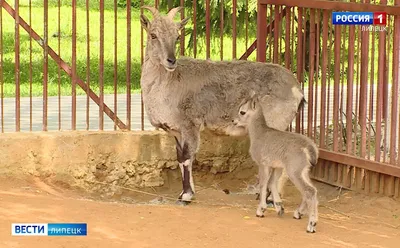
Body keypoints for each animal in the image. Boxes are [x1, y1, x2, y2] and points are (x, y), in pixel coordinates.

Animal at [139, 6, 304, 203]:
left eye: (177, 36)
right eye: (153, 35)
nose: (171, 61)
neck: (167, 82)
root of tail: (297, 89)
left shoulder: (190, 124)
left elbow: (187, 157)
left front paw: (186, 196)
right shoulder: (176, 131)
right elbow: (181, 158)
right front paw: (186, 192)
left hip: (276, 123)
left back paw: (271, 198)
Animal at [234, 92, 318, 233]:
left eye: (242, 112)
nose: (234, 121)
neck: (259, 135)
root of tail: (309, 147)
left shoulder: (263, 163)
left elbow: (263, 183)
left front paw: (260, 210)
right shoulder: (277, 166)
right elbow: (272, 183)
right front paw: (279, 207)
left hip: (294, 170)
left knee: (309, 191)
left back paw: (311, 225)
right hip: (303, 170)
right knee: (312, 190)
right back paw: (298, 213)